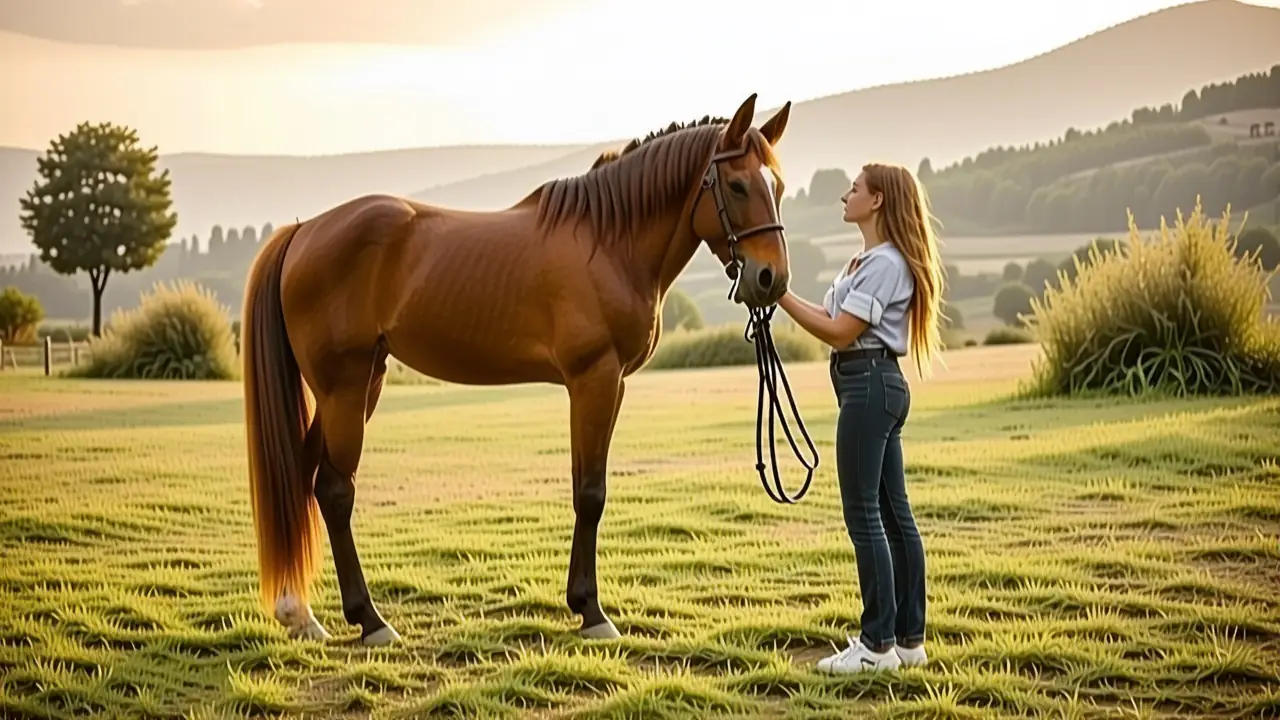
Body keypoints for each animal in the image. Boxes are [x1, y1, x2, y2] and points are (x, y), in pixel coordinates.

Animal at [240, 93, 794, 646]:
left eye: (779, 187)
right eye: (738, 185)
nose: (771, 279)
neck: (609, 243)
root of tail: (302, 232)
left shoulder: (610, 386)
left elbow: (587, 486)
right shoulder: (593, 379)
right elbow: (590, 493)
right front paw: (592, 612)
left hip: (357, 386)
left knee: (302, 480)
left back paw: (301, 615)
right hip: (346, 389)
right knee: (334, 492)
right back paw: (370, 621)